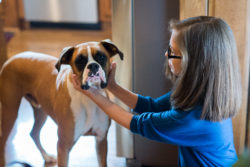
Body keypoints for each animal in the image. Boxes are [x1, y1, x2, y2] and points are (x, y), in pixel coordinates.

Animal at [0, 39, 123, 167]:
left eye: (101, 57)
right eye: (79, 60)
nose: (93, 65)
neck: (87, 98)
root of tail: (12, 58)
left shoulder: (101, 140)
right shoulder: (63, 147)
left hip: (41, 111)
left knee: (34, 133)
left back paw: (47, 157)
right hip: (10, 111)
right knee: (3, 140)